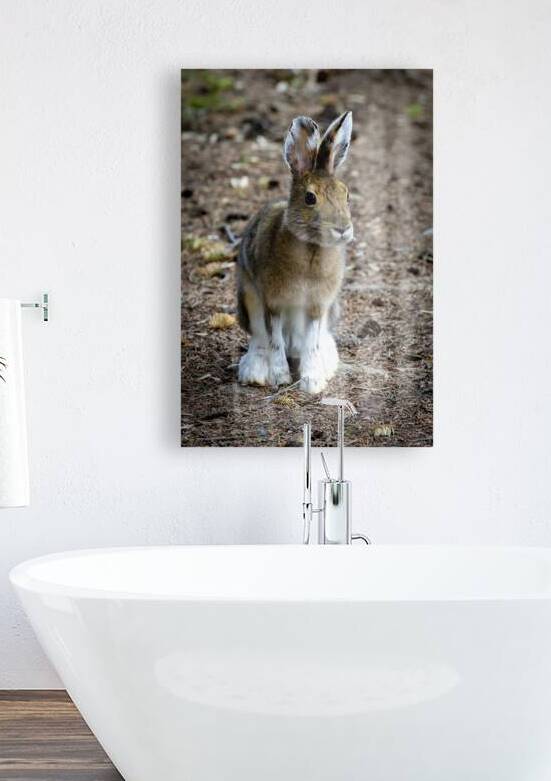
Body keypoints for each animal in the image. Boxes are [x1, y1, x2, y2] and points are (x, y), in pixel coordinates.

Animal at [237, 111, 354, 394]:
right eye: (310, 198)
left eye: (346, 195)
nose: (342, 229)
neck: (312, 247)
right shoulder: (273, 302)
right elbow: (275, 341)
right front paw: (280, 377)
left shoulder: (317, 306)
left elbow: (311, 342)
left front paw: (312, 383)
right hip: (248, 300)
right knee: (260, 338)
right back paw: (254, 373)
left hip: (332, 310)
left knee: (317, 339)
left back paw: (326, 363)